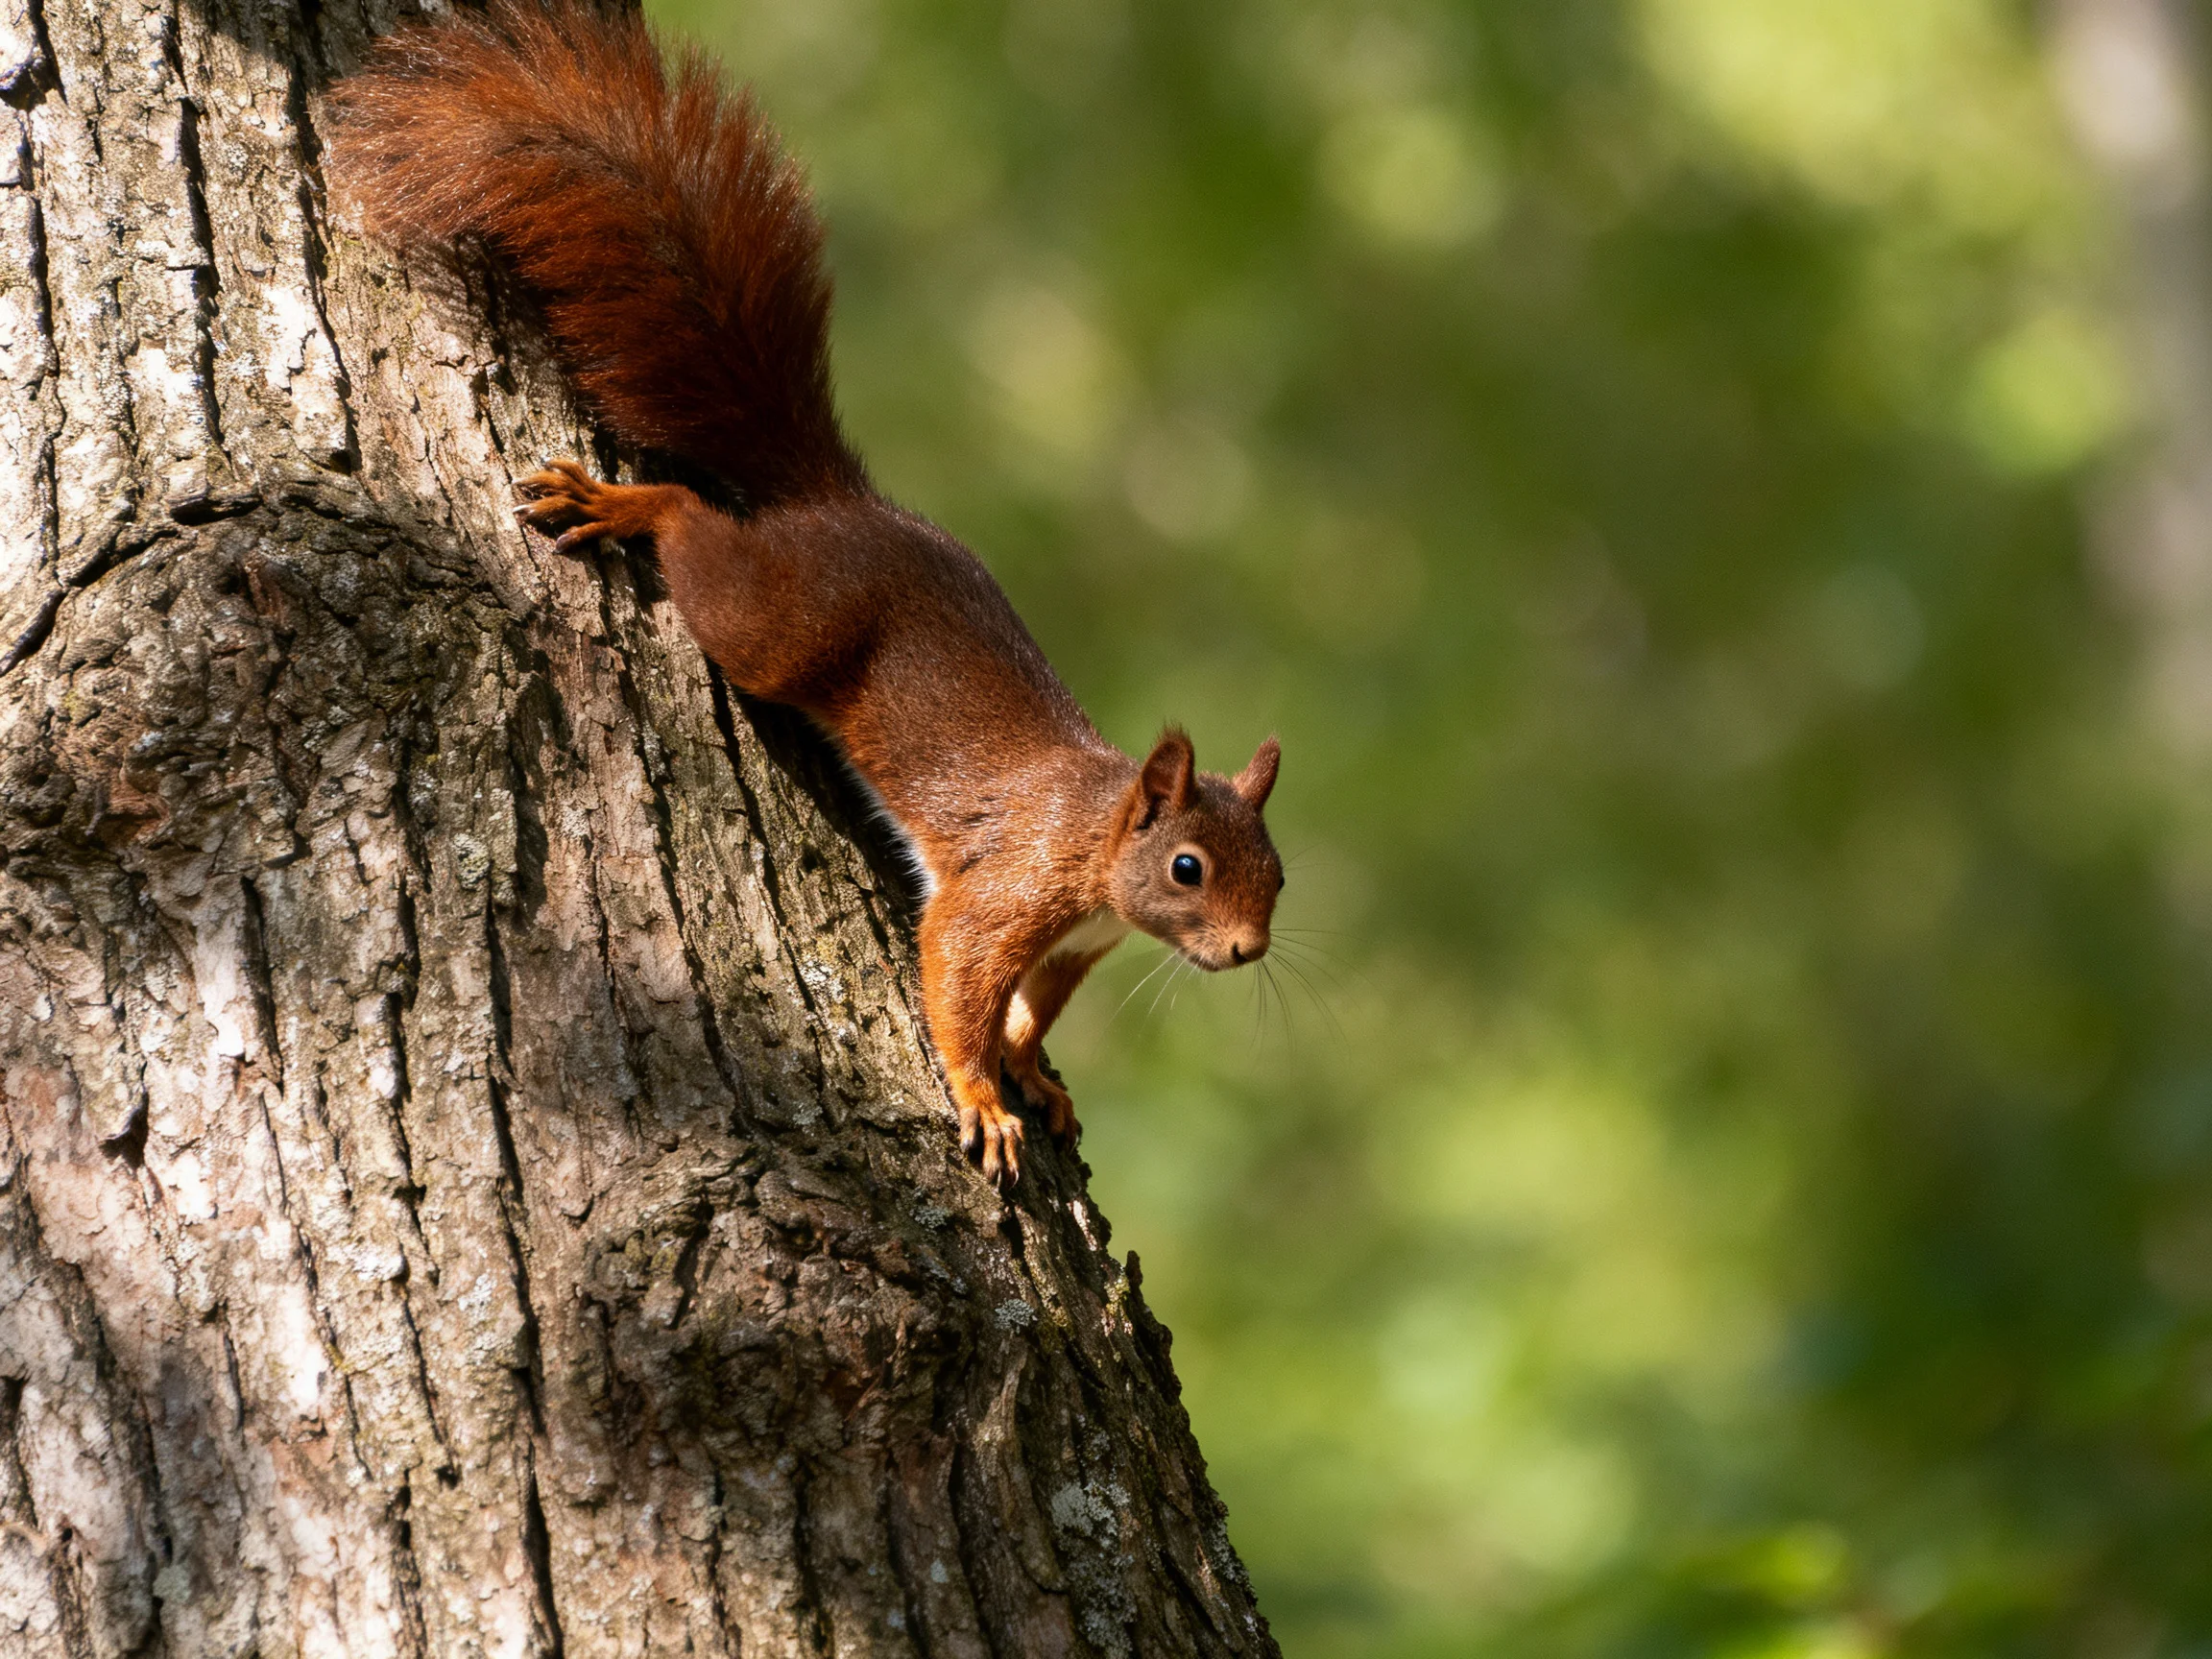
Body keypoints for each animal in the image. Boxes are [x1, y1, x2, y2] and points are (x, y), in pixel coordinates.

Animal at [329, 0, 1283, 1187]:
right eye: (1188, 867)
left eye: (1277, 875)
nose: (1248, 949)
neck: (1102, 848)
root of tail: (839, 503)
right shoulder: (1003, 894)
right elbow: (959, 982)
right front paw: (985, 1095)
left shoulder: (1076, 947)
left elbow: (1031, 1014)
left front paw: (1038, 1072)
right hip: (779, 625)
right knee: (699, 537)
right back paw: (633, 505)